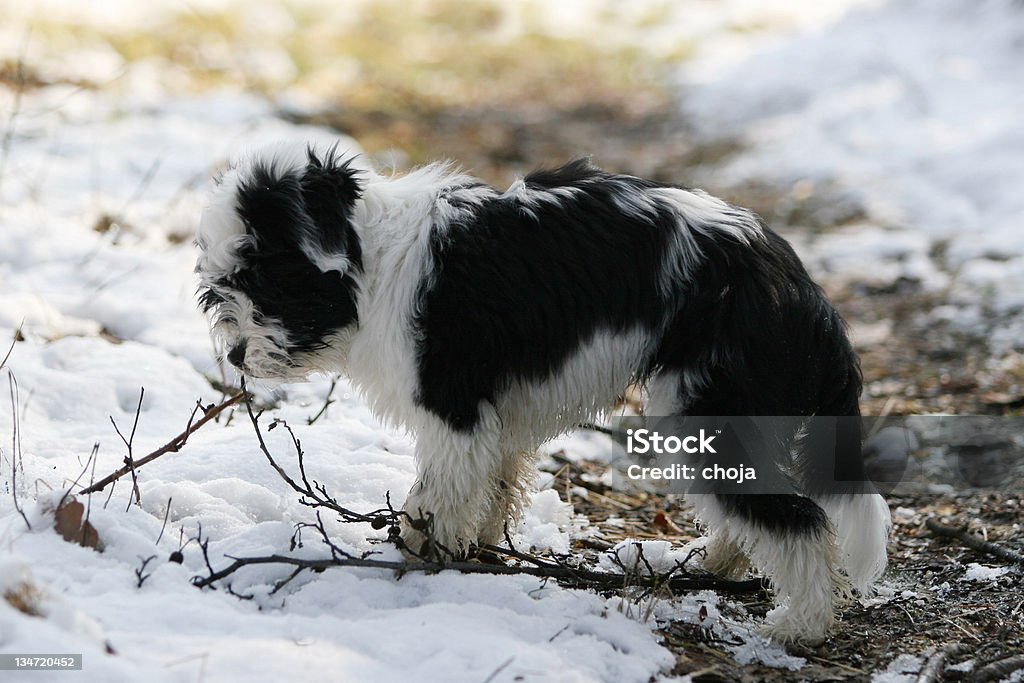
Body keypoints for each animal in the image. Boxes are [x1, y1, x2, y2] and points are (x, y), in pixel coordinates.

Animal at [195, 141, 892, 643]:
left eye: (264, 277)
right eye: (220, 285)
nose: (236, 356)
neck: (370, 259)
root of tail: (798, 285)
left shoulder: (453, 405)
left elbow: (437, 492)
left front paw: (419, 554)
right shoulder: (494, 416)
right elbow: (494, 481)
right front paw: (478, 544)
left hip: (712, 405)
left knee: (798, 521)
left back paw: (800, 626)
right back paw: (721, 565)